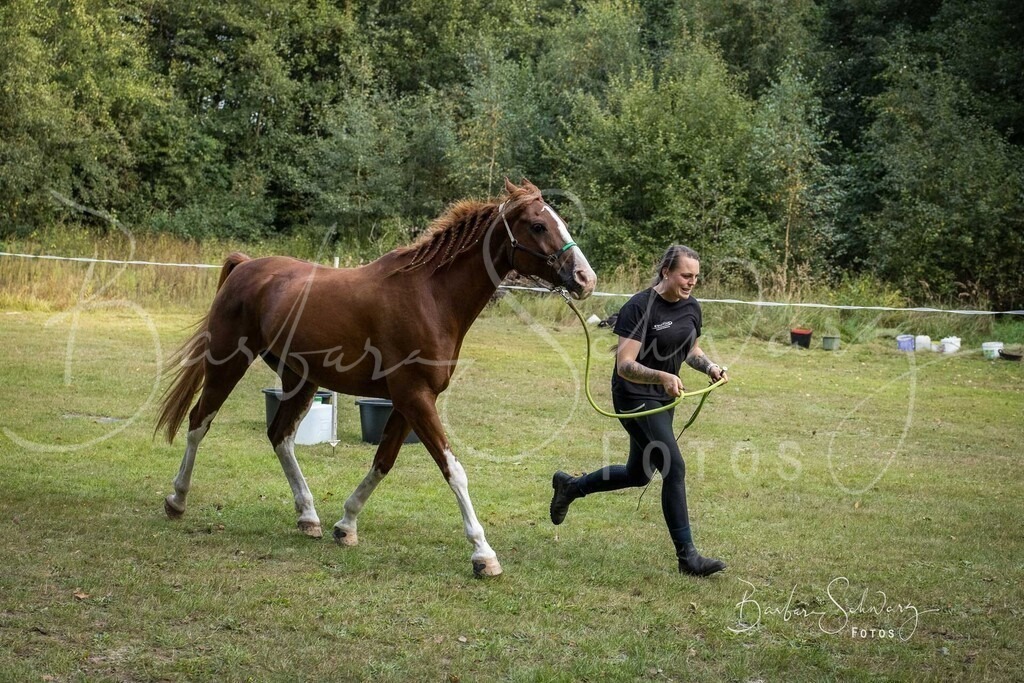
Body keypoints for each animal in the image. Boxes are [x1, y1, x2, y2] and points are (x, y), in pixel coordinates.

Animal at [154, 178, 596, 576]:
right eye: (538, 225)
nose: (585, 279)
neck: (430, 297)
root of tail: (246, 266)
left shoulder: (408, 401)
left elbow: (383, 461)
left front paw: (345, 525)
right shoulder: (415, 397)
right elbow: (453, 470)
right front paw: (483, 554)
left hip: (300, 379)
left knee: (280, 436)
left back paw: (308, 516)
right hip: (227, 362)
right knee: (199, 422)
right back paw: (177, 499)